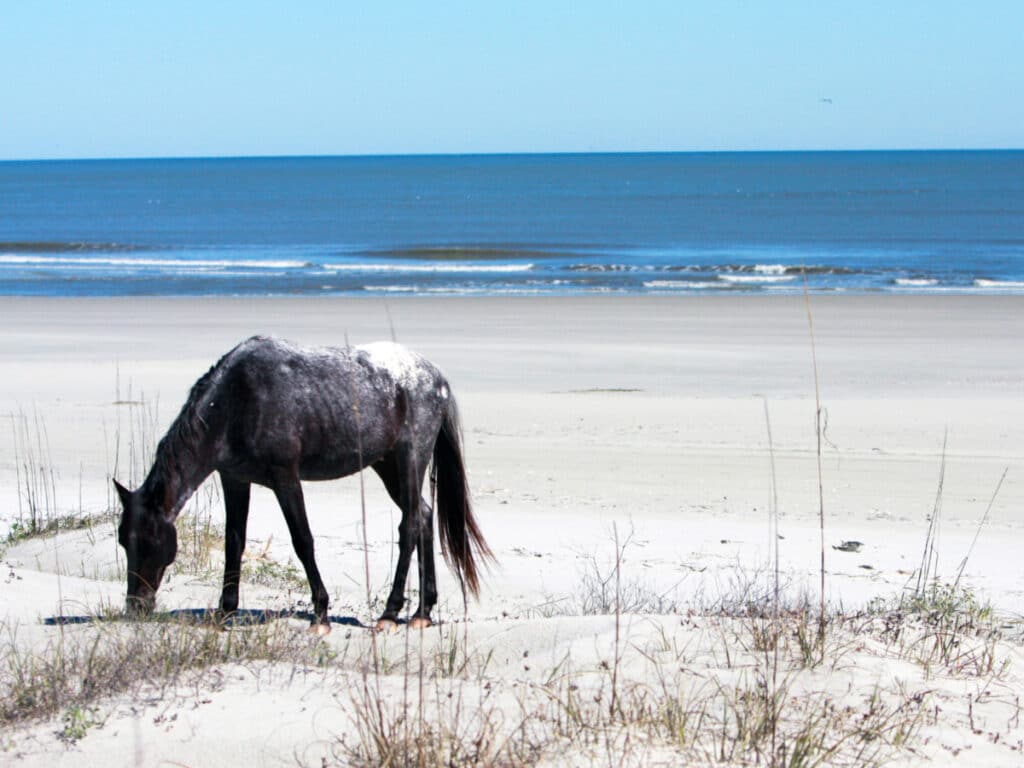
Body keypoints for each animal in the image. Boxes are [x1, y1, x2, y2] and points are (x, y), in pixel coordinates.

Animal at [113, 335, 492, 634]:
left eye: (149, 542)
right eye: (123, 542)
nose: (136, 607)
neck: (237, 401)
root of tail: (436, 376)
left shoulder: (286, 479)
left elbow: (303, 541)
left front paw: (320, 615)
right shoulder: (234, 479)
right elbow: (234, 543)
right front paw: (226, 611)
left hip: (410, 458)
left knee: (410, 525)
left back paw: (390, 612)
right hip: (388, 467)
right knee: (423, 516)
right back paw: (422, 612)